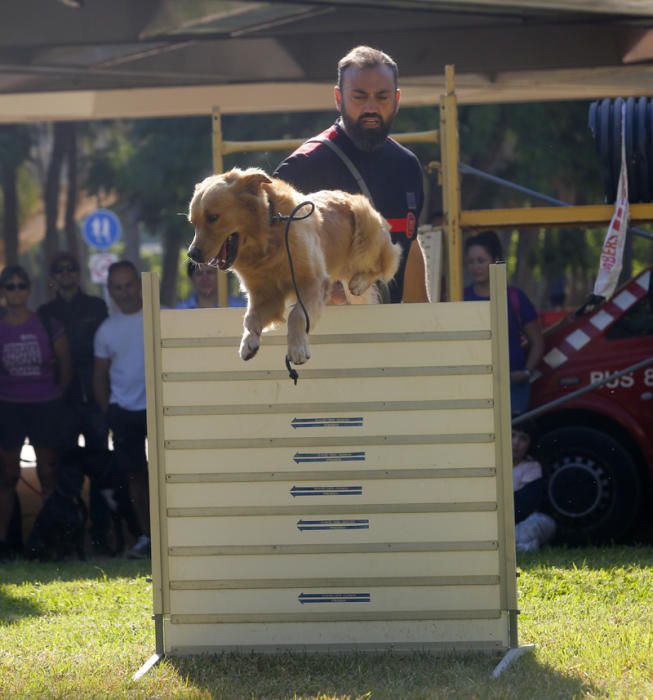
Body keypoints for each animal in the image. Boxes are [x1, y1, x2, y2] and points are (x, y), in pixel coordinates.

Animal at [186, 167, 400, 364]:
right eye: (193, 223)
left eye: (213, 217)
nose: (192, 254)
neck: (267, 237)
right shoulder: (265, 295)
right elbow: (251, 317)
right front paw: (248, 343)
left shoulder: (313, 281)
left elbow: (297, 315)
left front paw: (297, 350)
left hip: (365, 235)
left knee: (386, 263)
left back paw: (359, 282)